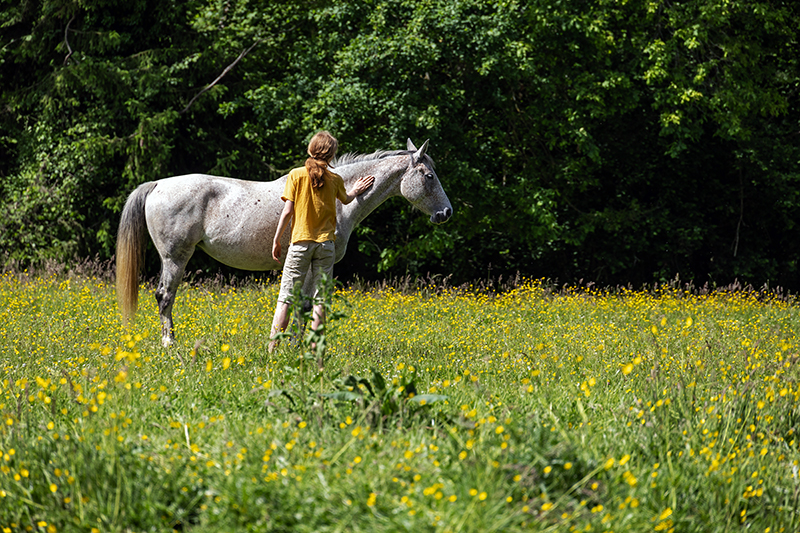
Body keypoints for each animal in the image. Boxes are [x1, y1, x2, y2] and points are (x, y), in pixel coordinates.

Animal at [116, 139, 453, 347]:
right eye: (429, 176)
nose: (446, 213)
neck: (335, 199)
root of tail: (157, 184)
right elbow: (304, 304)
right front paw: (298, 344)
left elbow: (302, 304)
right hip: (175, 257)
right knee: (165, 296)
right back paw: (170, 343)